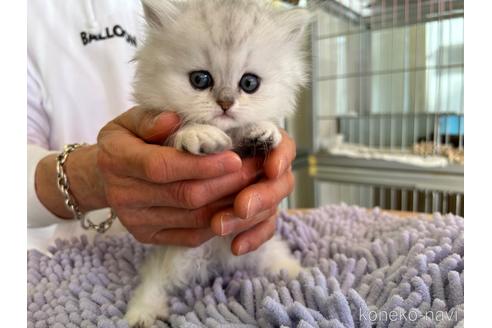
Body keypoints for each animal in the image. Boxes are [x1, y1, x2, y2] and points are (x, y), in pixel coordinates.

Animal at [127, 0, 312, 326]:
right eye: (200, 80)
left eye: (249, 83)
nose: (226, 103)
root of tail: (219, 258)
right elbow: (181, 130)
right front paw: (198, 133)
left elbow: (259, 130)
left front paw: (263, 133)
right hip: (175, 257)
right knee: (154, 279)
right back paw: (140, 312)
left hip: (259, 249)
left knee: (278, 260)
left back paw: (302, 275)